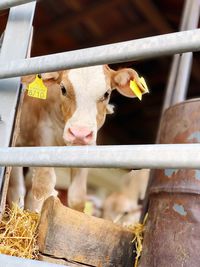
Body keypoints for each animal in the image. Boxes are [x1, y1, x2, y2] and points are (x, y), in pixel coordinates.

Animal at [7, 65, 144, 214]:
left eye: (106, 94)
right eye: (63, 89)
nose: (79, 133)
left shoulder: (88, 146)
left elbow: (77, 196)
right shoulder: (45, 133)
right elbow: (44, 185)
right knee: (18, 188)